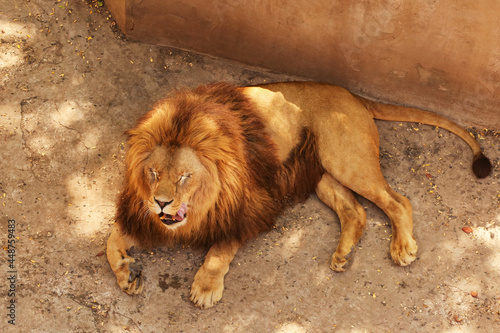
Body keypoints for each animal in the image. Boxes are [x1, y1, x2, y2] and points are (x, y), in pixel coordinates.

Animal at [106, 81, 492, 308]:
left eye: (185, 176)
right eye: (154, 173)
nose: (161, 202)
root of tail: (351, 94)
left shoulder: (251, 206)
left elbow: (220, 250)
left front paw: (204, 287)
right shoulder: (142, 214)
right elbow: (111, 241)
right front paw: (126, 272)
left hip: (344, 158)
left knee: (398, 201)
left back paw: (402, 247)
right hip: (322, 172)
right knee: (356, 212)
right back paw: (342, 255)